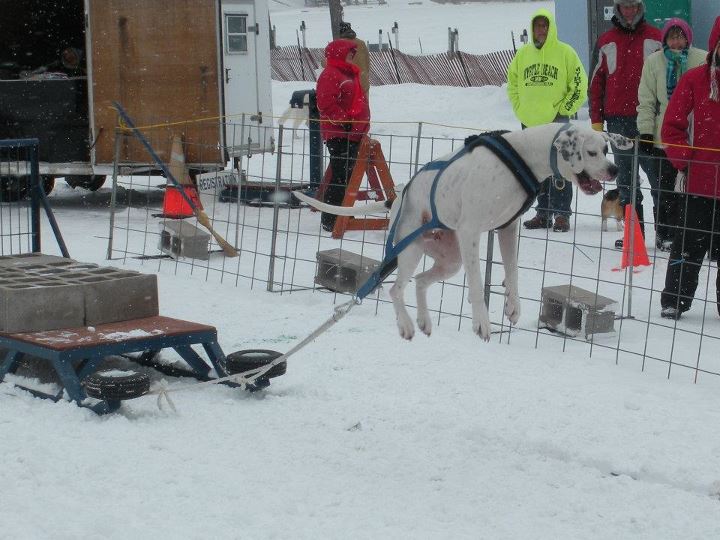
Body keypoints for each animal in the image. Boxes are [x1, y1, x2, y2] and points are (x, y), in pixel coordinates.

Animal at [292, 124, 632, 340]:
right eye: (592, 152)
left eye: (606, 148)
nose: (614, 169)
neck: (522, 156)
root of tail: (398, 195)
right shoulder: (471, 231)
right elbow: (478, 283)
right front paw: (482, 321)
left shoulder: (507, 229)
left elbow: (512, 271)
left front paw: (512, 306)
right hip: (411, 249)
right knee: (396, 289)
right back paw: (406, 325)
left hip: (450, 261)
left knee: (419, 282)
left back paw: (424, 320)